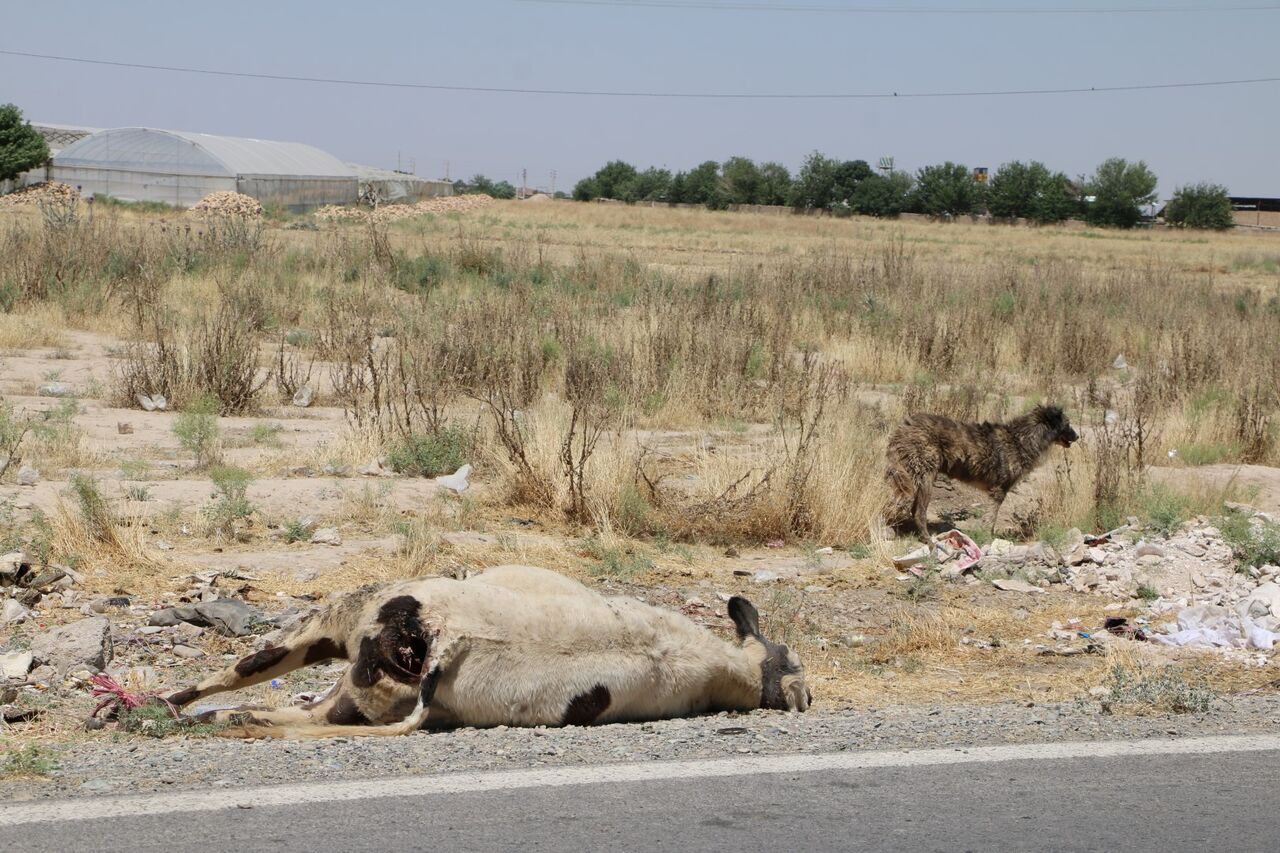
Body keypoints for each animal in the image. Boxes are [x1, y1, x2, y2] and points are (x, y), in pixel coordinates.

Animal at [885, 404, 1075, 537]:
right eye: (1067, 424)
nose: (1078, 436)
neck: (1020, 439)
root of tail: (904, 427)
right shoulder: (999, 491)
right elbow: (991, 518)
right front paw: (988, 539)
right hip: (922, 478)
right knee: (917, 512)